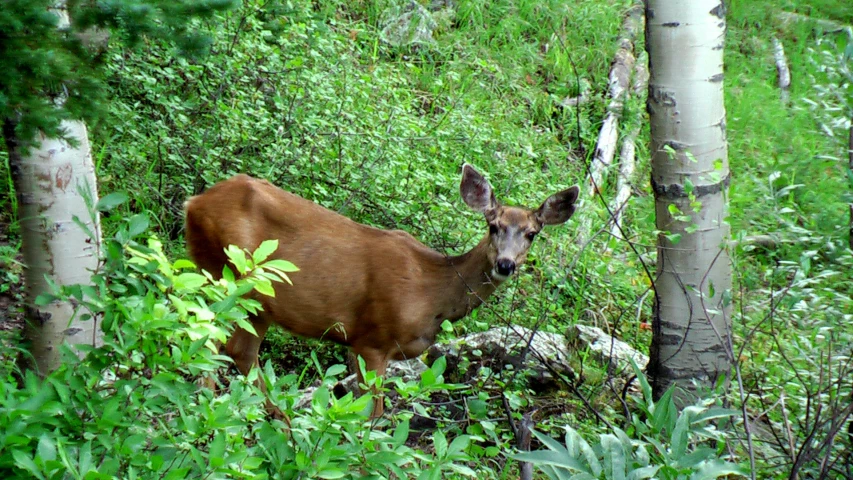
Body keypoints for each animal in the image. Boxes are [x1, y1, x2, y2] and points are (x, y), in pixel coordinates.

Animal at [185, 164, 580, 416]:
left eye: (532, 233)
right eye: (493, 225)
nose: (505, 265)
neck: (431, 293)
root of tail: (194, 203)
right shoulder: (371, 338)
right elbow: (370, 418)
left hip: (255, 301)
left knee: (237, 350)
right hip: (230, 275)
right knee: (211, 340)